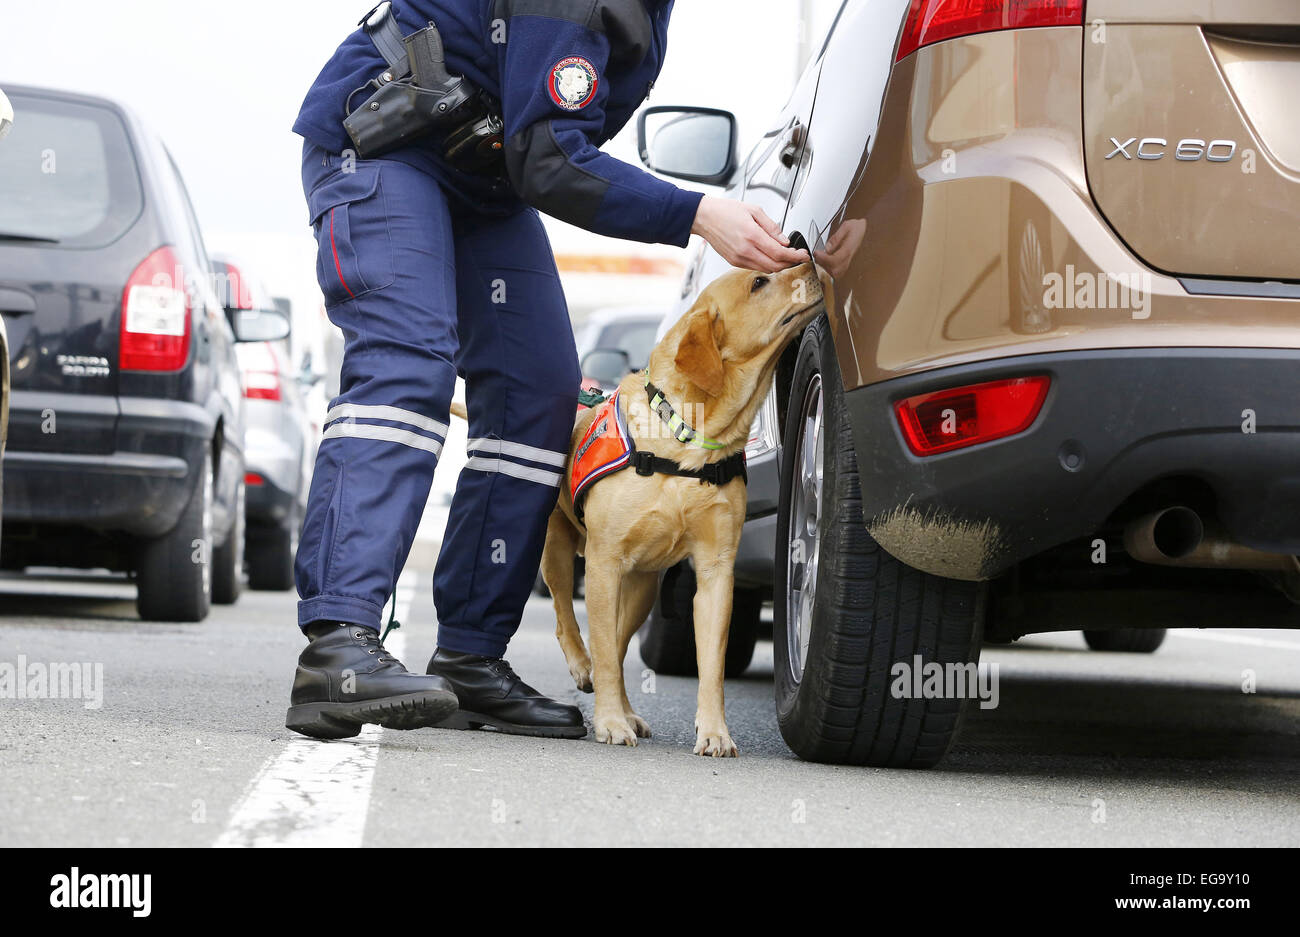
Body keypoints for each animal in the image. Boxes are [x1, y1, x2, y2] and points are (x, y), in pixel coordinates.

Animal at [543, 261, 826, 753]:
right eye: (759, 282)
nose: (810, 259)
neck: (687, 437)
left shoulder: (716, 572)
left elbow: (711, 666)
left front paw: (714, 731)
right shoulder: (603, 563)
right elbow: (600, 646)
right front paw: (609, 721)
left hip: (641, 588)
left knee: (617, 648)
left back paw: (626, 708)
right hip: (560, 553)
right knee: (569, 621)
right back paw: (584, 669)